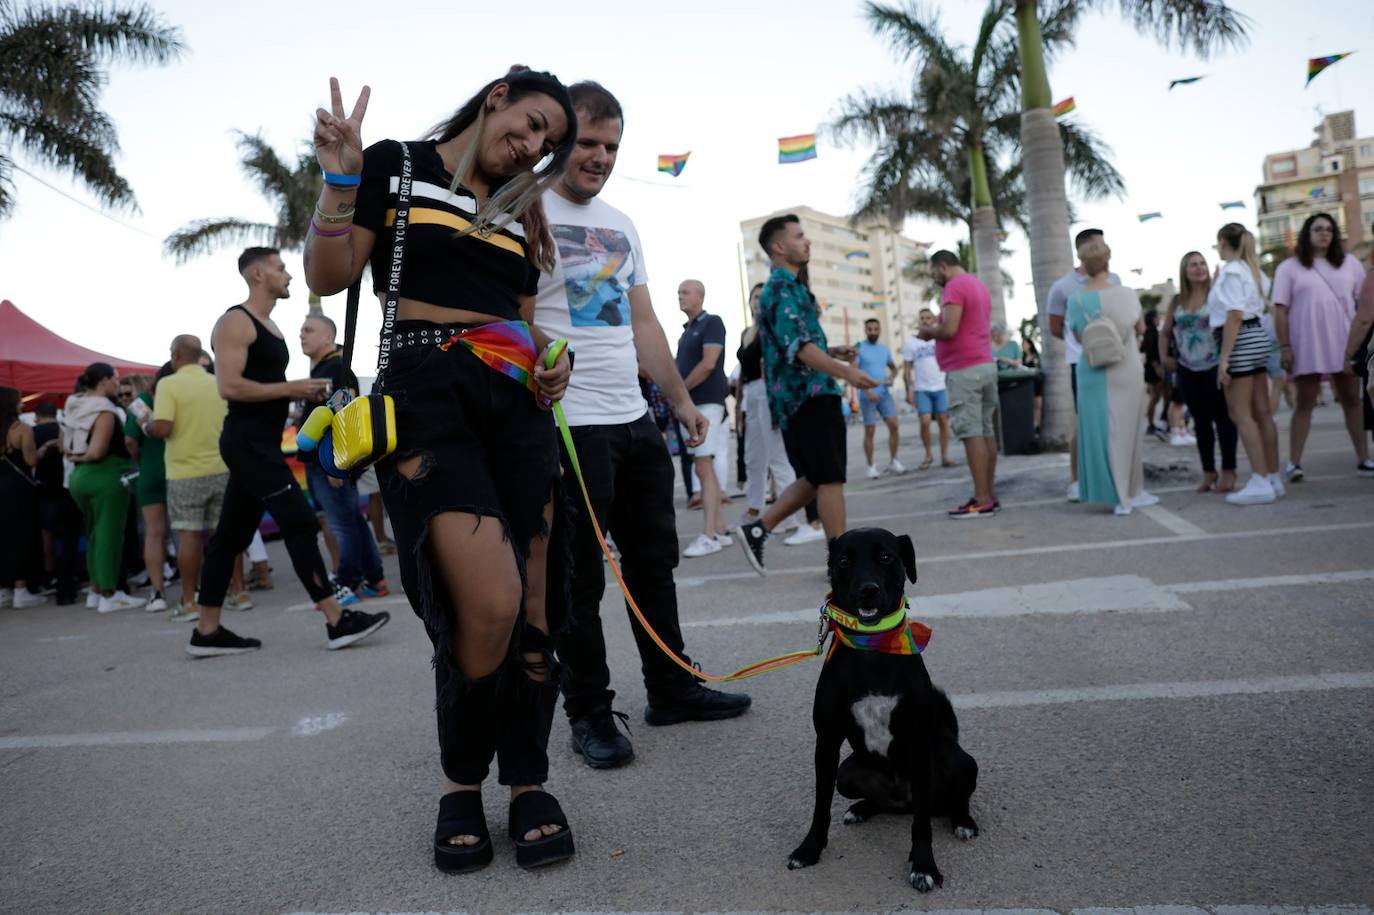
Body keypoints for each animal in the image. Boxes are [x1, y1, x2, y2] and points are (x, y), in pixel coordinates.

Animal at [785, 524, 978, 884]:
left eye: (886, 556)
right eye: (844, 561)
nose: (868, 590)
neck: (872, 647)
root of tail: (902, 798)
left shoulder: (919, 744)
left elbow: (922, 824)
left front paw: (923, 865)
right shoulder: (827, 744)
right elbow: (820, 806)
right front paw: (810, 849)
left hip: (960, 763)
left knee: (949, 801)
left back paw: (963, 820)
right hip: (847, 773)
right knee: (882, 801)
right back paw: (862, 808)